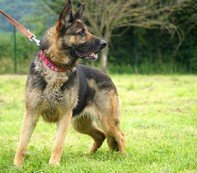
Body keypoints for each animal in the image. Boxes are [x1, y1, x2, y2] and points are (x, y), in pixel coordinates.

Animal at [13, 0, 124, 168]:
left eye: (87, 30)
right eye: (81, 32)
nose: (105, 43)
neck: (56, 68)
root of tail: (107, 77)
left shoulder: (64, 116)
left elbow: (58, 144)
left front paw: (53, 165)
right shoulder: (31, 113)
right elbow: (22, 143)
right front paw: (17, 166)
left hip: (106, 120)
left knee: (119, 135)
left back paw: (124, 157)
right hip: (80, 124)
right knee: (100, 135)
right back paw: (88, 155)